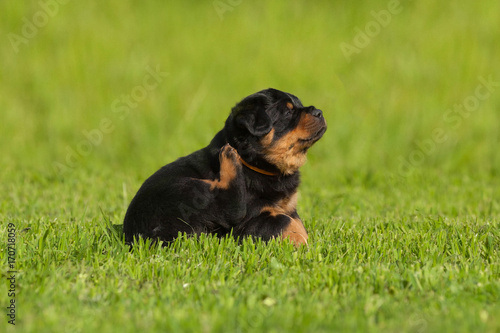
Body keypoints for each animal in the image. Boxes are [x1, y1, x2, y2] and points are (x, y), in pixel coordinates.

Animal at [123, 88, 326, 246]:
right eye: (287, 113)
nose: (319, 112)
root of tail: (135, 237)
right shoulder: (249, 222)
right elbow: (285, 221)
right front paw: (300, 241)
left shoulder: (289, 206)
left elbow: (296, 220)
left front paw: (302, 237)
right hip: (186, 188)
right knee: (230, 207)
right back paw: (229, 157)